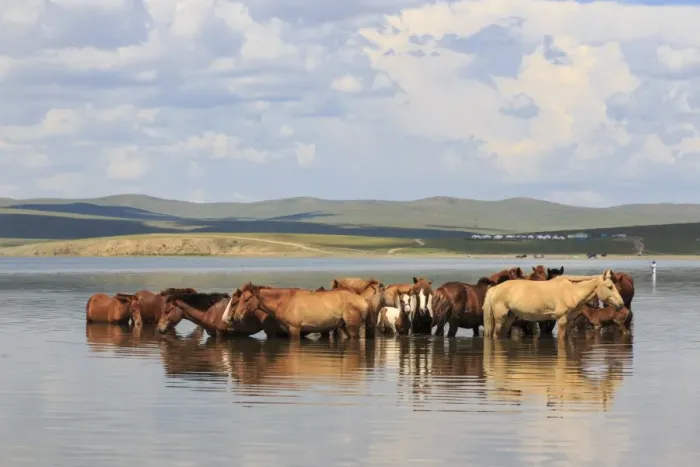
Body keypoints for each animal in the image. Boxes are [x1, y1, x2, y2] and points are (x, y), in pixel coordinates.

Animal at [229, 282, 372, 340]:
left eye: (247, 299)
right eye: (238, 299)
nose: (236, 317)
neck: (284, 301)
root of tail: (362, 300)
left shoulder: (295, 329)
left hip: (352, 327)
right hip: (344, 327)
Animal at [483, 269, 625, 342]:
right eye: (610, 287)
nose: (621, 304)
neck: (571, 290)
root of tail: (494, 288)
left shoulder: (570, 321)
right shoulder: (561, 320)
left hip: (510, 317)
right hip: (500, 318)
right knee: (495, 335)